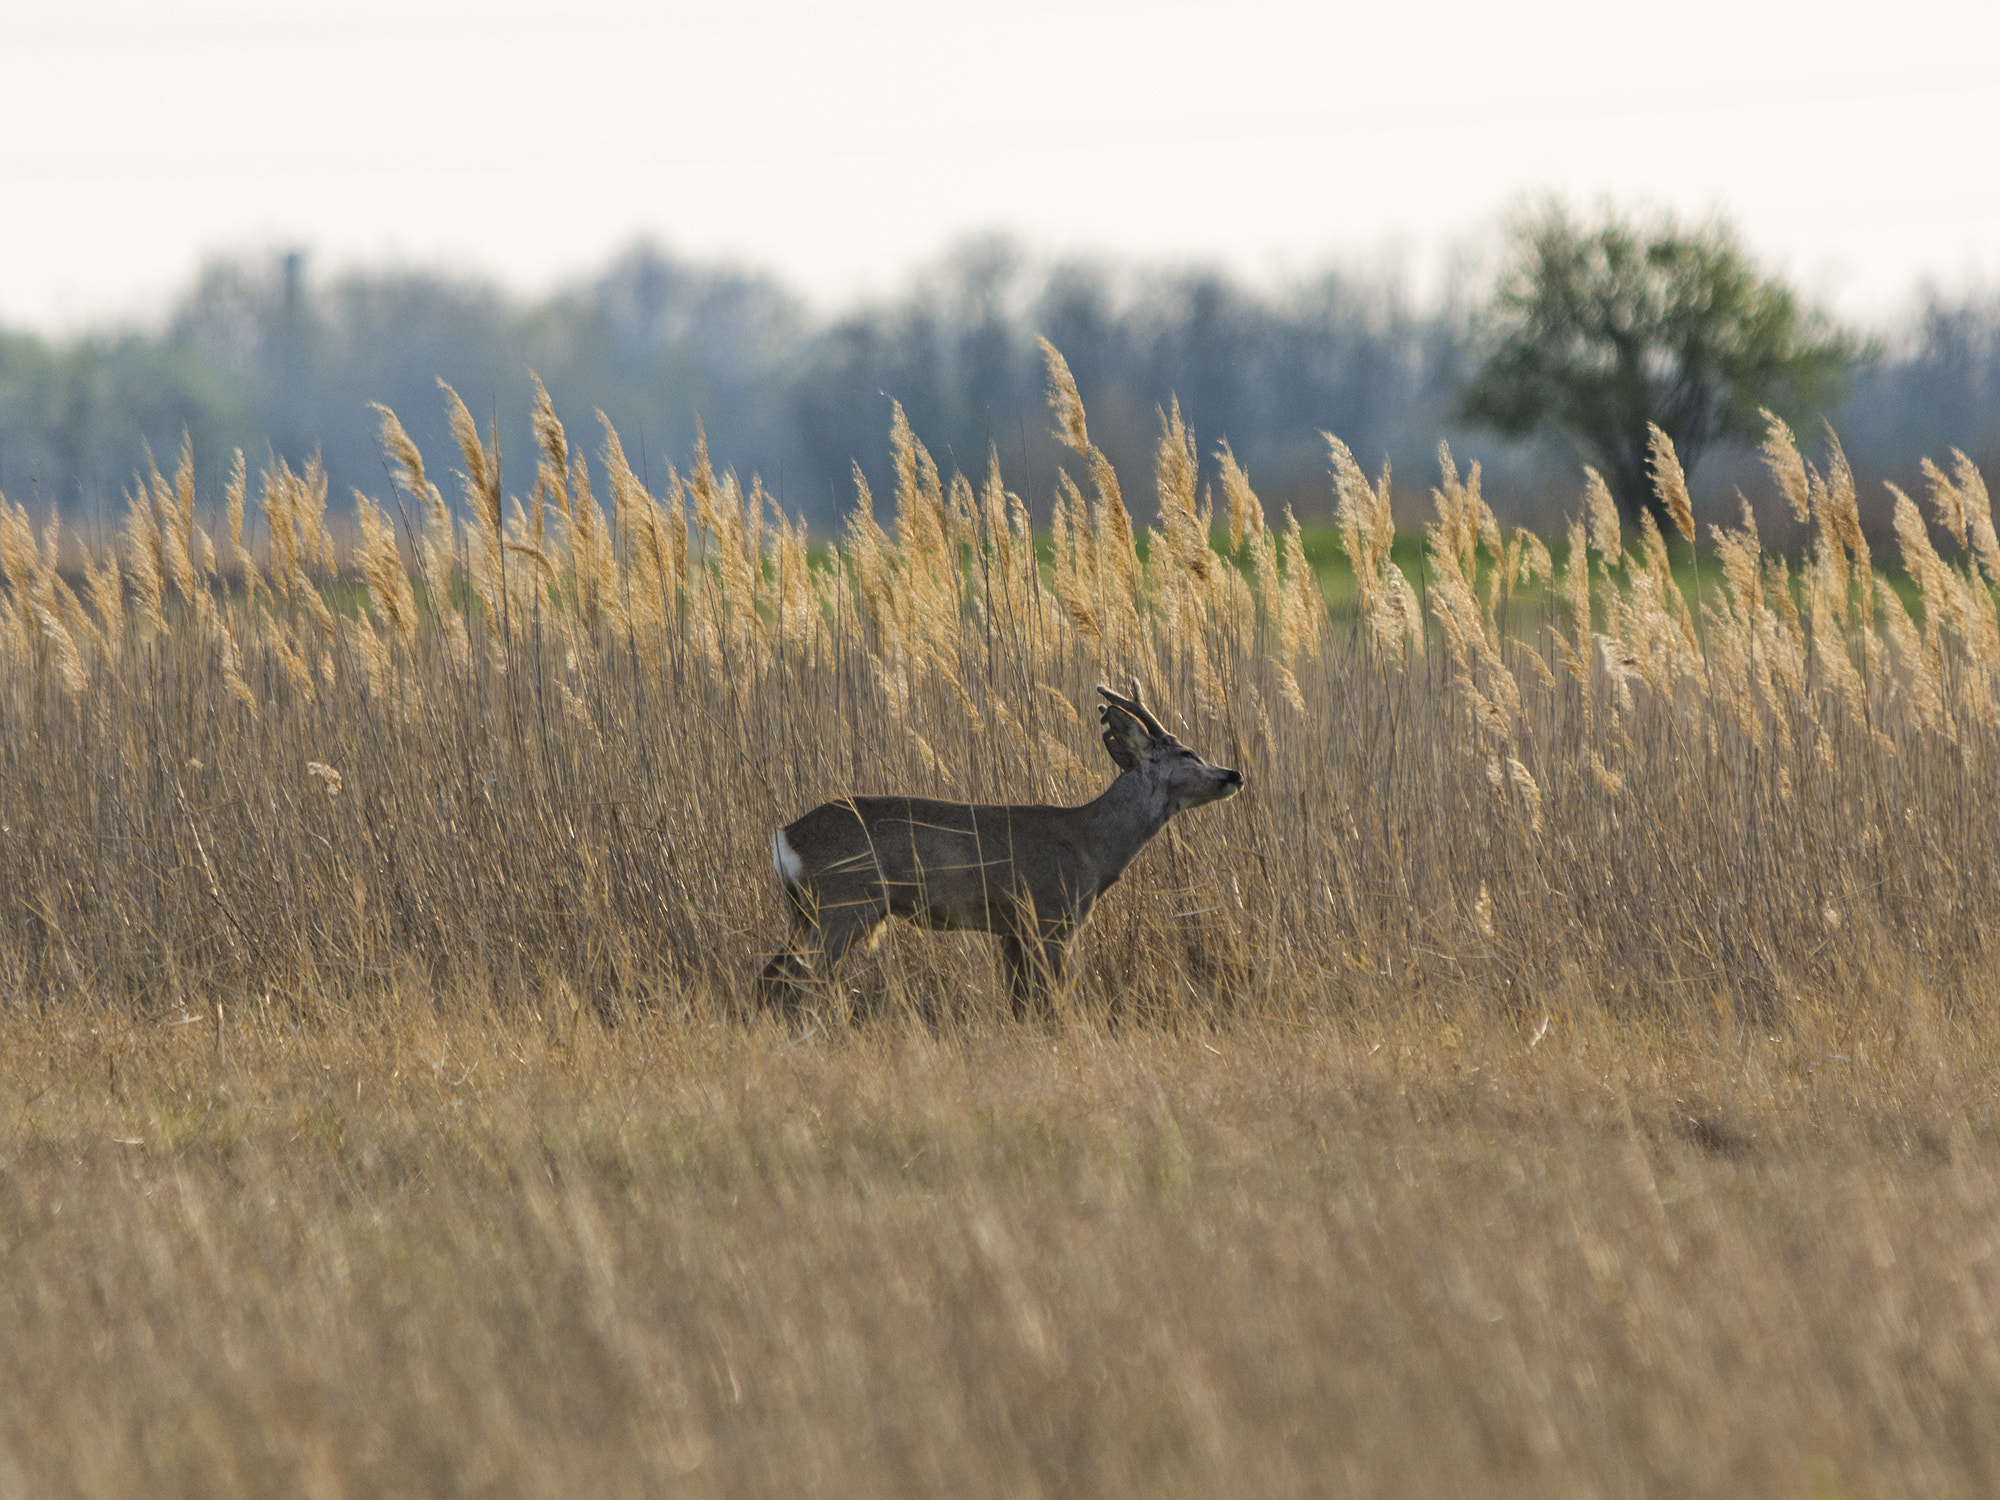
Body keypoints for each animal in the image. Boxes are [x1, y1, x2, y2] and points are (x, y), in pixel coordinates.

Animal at [760, 684, 1240, 1024]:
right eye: (1188, 752)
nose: (1233, 774)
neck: (1092, 845)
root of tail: (785, 836)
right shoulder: (1052, 915)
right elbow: (1050, 1000)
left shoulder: (1012, 929)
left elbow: (1020, 1003)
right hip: (844, 901)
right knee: (800, 977)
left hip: (805, 910)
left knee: (772, 973)